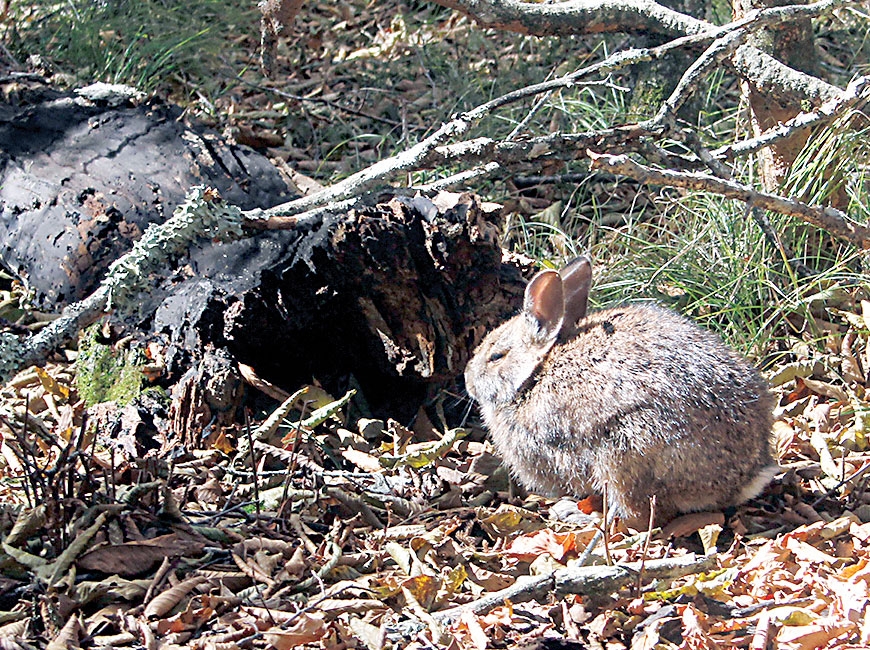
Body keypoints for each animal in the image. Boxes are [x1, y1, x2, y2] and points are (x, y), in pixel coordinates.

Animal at [466, 253, 780, 528]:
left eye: (496, 357)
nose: (468, 380)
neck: (532, 374)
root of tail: (745, 477)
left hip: (624, 453)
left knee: (641, 517)